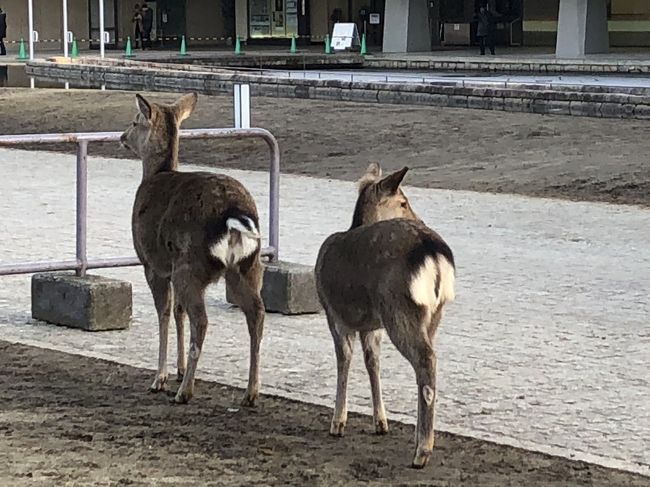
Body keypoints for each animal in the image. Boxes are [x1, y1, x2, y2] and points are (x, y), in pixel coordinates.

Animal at [119, 93, 264, 406]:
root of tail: (234, 213)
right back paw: (250, 392)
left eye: (135, 121)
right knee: (256, 313)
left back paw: (185, 391)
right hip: (247, 265)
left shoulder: (152, 263)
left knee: (203, 320)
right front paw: (178, 368)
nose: (122, 137)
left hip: (191, 264)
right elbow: (178, 311)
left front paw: (160, 378)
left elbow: (164, 312)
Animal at [314, 164, 456, 468]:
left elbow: (344, 360)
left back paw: (422, 451)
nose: (419, 217)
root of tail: (433, 251)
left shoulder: (334, 314)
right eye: (403, 202)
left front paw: (337, 423)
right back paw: (419, 438)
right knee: (427, 360)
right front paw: (381, 422)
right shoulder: (372, 325)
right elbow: (372, 362)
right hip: (432, 313)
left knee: (425, 360)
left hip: (398, 308)